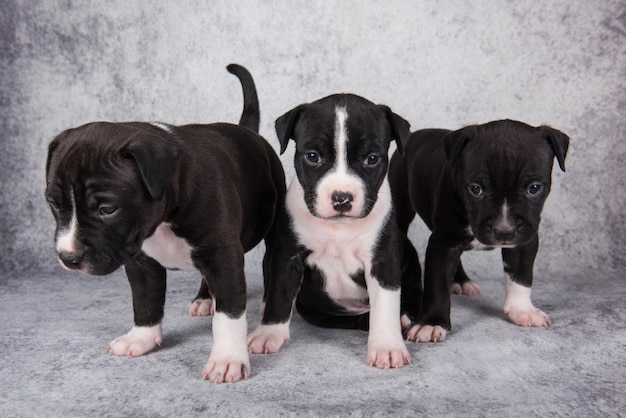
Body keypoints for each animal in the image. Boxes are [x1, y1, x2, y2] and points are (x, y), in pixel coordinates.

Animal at [44, 64, 286, 382]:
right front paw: (141, 338)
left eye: (107, 209)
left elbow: (230, 314)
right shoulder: (140, 260)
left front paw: (227, 359)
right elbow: (145, 299)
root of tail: (246, 129)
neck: (164, 218)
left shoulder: (223, 255)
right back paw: (204, 299)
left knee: (271, 263)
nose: (68, 257)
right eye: (54, 204)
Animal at [246, 94, 422, 370]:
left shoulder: (383, 261)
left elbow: (385, 304)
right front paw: (268, 333)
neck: (338, 229)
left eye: (372, 159)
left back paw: (405, 318)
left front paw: (387, 346)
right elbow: (279, 293)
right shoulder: (288, 257)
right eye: (313, 156)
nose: (342, 198)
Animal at [388, 118, 568, 342]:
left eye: (534, 188)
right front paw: (431, 323)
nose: (504, 231)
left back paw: (462, 281)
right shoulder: (443, 242)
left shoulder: (524, 239)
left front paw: (522, 309)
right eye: (475, 189)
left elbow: (521, 274)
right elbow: (437, 284)